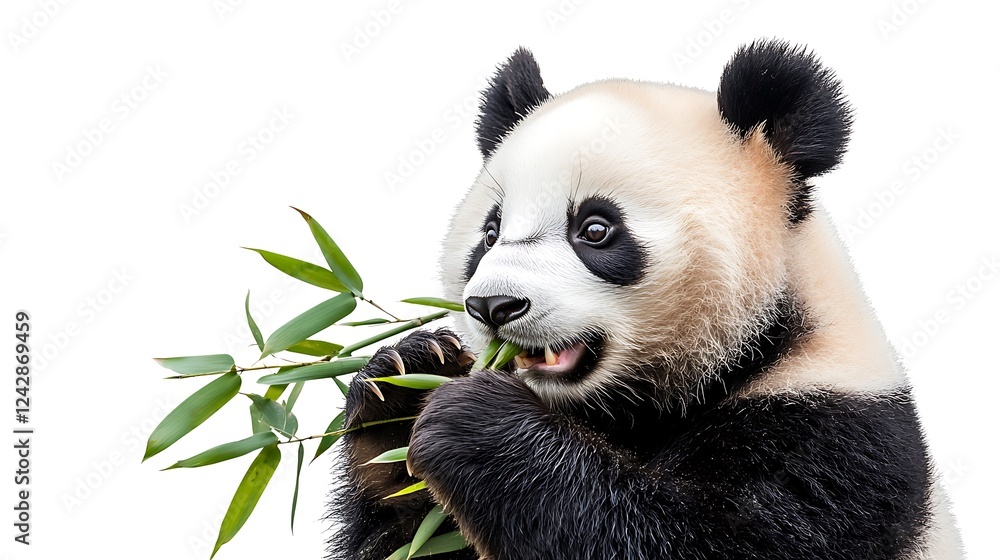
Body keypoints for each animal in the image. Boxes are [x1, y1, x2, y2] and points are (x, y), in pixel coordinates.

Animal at [329, 40, 964, 560]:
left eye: (595, 229)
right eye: (490, 232)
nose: (493, 307)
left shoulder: (833, 436)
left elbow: (700, 541)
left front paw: (474, 421)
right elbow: (413, 538)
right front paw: (405, 382)